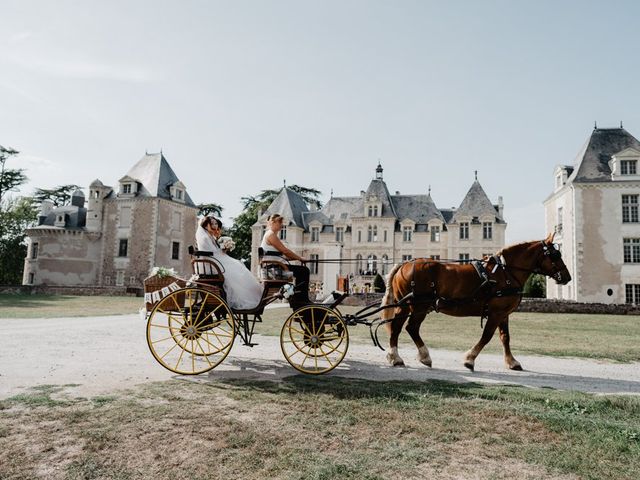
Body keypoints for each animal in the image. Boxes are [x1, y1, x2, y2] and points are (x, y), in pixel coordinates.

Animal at [380, 232, 568, 372]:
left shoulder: (503, 314)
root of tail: (405, 263)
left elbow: (505, 337)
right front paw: (469, 359)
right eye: (555, 255)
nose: (568, 277)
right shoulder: (496, 313)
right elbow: (486, 336)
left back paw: (397, 357)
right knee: (410, 328)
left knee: (397, 328)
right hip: (419, 306)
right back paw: (420, 356)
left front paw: (512, 362)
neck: (506, 272)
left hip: (406, 306)